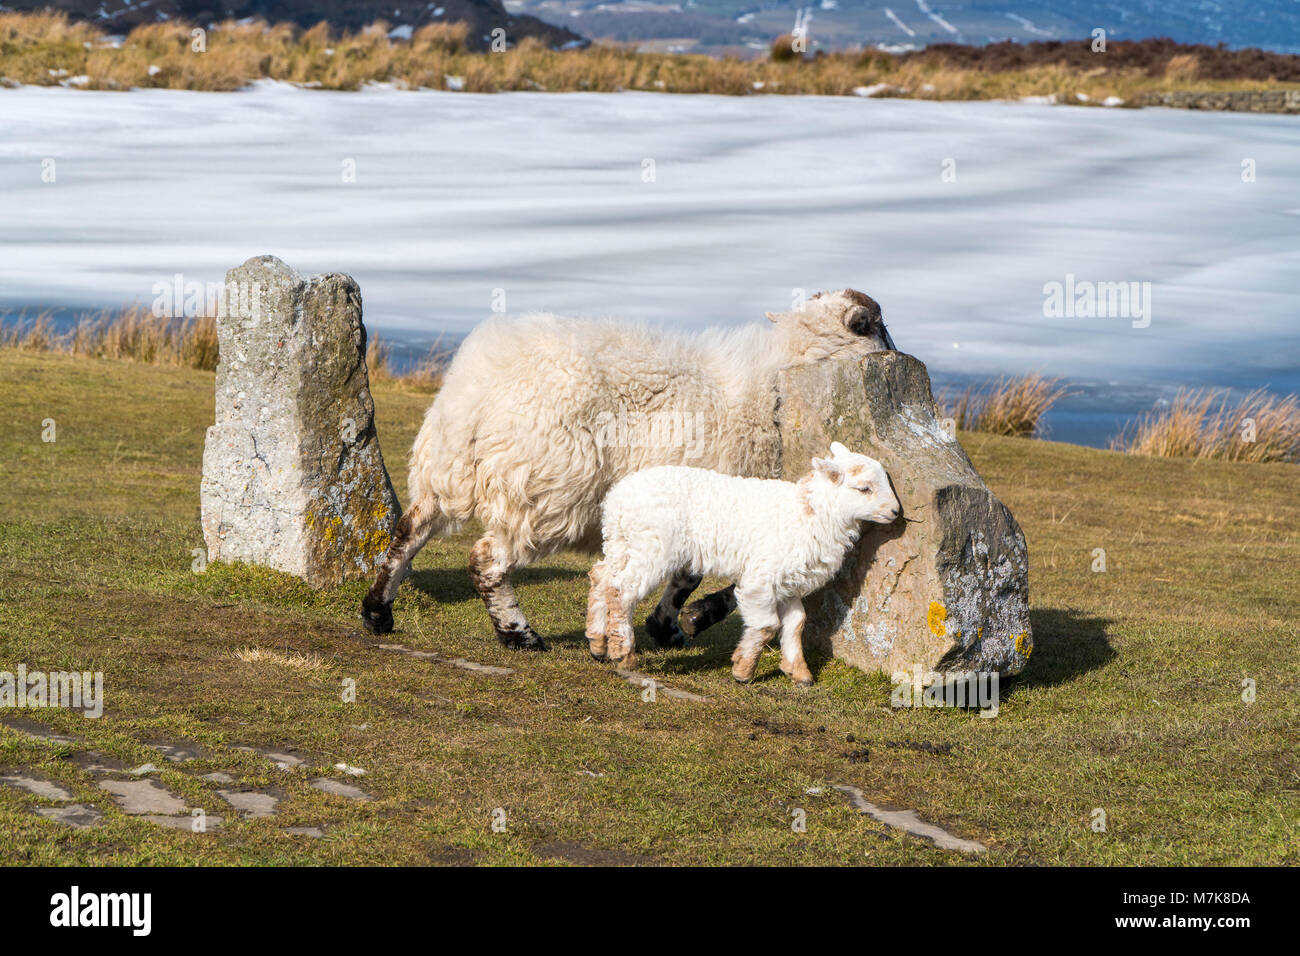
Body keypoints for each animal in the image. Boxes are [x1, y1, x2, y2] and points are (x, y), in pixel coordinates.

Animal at [361, 290, 899, 650]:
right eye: (875, 325)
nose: (900, 353)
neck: (780, 382)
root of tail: (476, 389)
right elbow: (701, 579)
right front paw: (686, 621)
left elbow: (689, 574)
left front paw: (667, 626)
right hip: (549, 490)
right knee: (486, 558)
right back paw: (519, 634)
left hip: (445, 472)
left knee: (408, 531)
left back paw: (377, 612)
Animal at [587, 444, 899, 686]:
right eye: (864, 489)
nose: (896, 511)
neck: (810, 513)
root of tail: (617, 500)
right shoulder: (762, 578)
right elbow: (766, 625)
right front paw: (743, 669)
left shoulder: (789, 581)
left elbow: (796, 623)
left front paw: (799, 672)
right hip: (652, 547)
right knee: (621, 590)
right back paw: (623, 652)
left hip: (622, 542)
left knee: (602, 577)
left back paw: (598, 642)